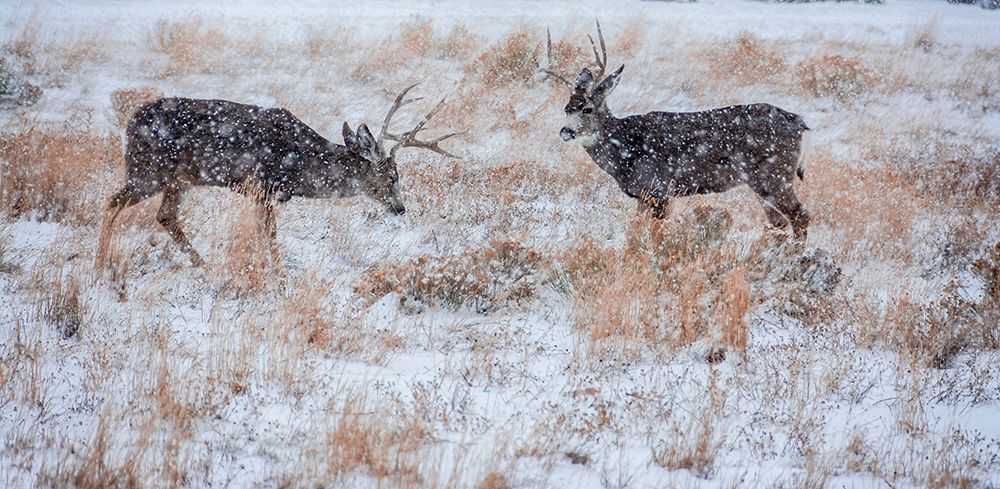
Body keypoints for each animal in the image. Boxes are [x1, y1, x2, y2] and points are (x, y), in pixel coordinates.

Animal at [96, 84, 457, 268]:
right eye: (394, 177)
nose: (400, 208)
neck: (301, 164)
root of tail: (130, 122)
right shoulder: (264, 186)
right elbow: (269, 236)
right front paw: (277, 279)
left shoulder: (261, 193)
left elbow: (262, 235)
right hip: (148, 171)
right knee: (112, 202)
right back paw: (100, 267)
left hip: (179, 179)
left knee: (165, 215)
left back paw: (205, 267)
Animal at [540, 22, 811, 240]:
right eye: (566, 108)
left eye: (586, 108)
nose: (565, 131)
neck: (625, 149)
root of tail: (799, 122)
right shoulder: (643, 195)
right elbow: (633, 232)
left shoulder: (659, 188)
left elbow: (653, 236)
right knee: (778, 222)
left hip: (772, 174)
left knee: (800, 215)